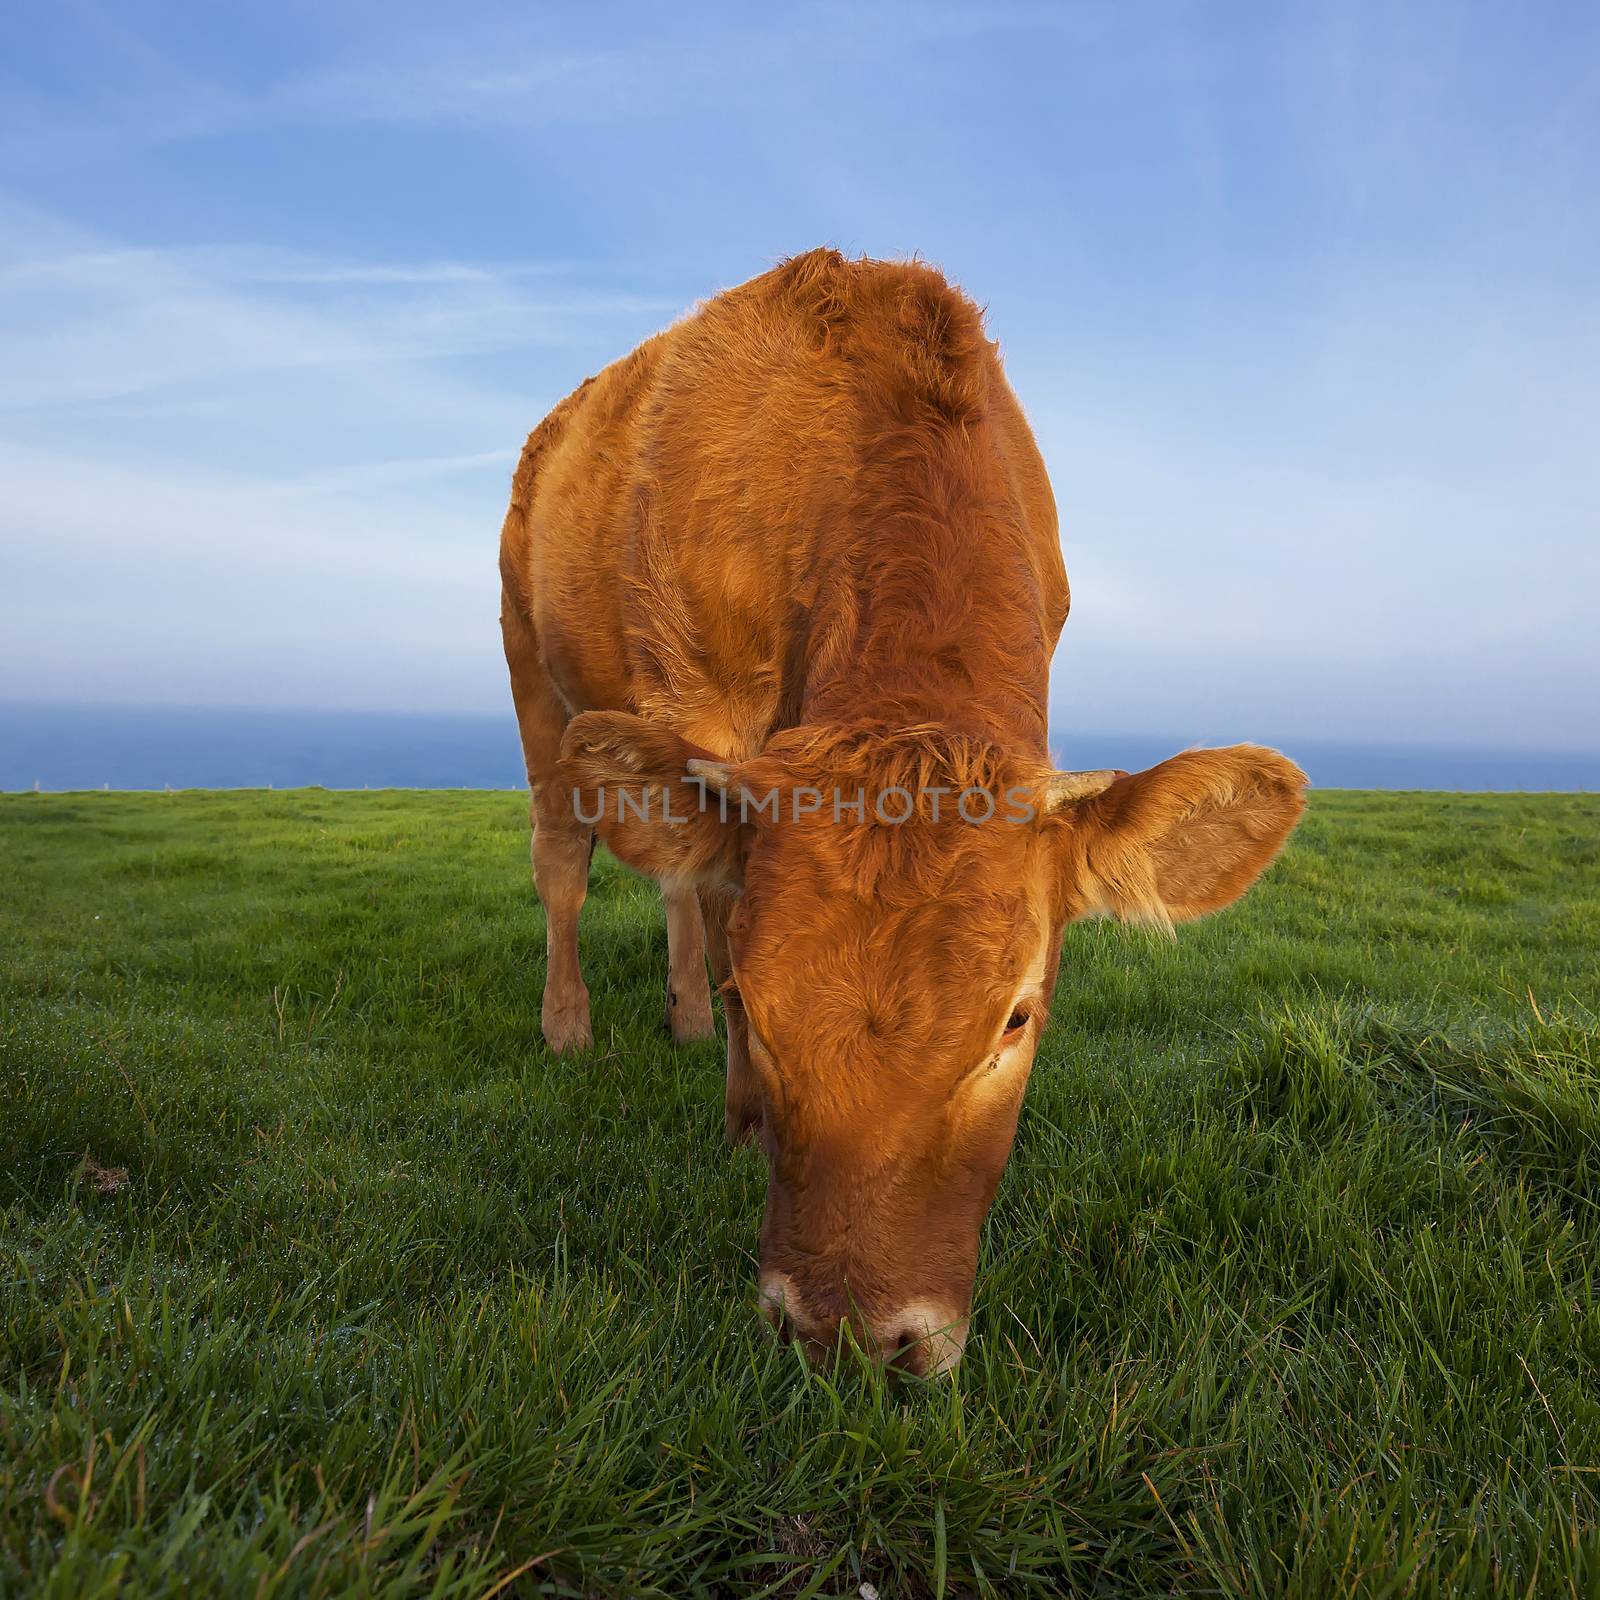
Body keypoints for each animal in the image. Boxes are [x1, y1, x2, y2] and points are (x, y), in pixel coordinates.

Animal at [502, 249, 1312, 1376]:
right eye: (761, 1006)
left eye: (1016, 1016)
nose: (845, 1333)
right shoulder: (693, 701)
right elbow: (713, 901)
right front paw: (737, 1100)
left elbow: (697, 886)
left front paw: (707, 1036)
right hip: (535, 675)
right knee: (568, 865)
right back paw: (570, 1024)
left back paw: (680, 1016)